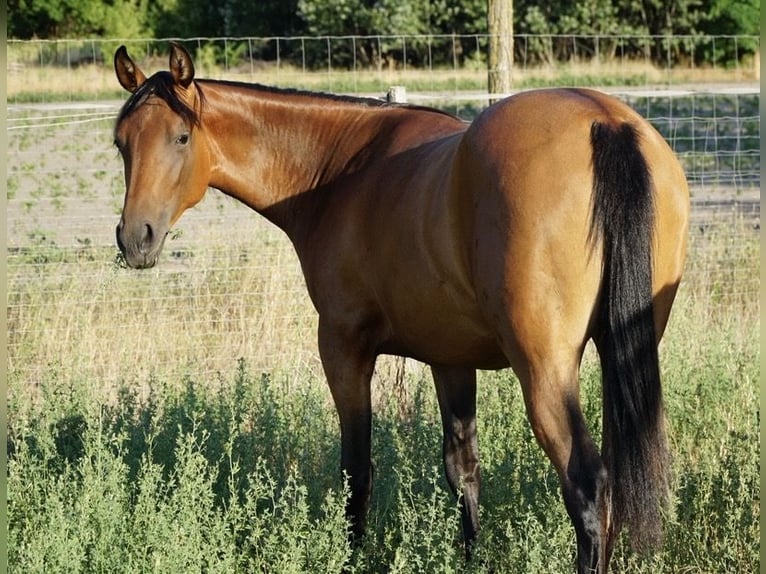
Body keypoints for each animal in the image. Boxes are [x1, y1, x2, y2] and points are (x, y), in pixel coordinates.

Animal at [113, 43, 689, 573]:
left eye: (181, 137)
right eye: (121, 144)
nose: (135, 239)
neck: (342, 171)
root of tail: (604, 120)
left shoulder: (344, 350)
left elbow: (357, 470)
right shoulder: (450, 359)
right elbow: (463, 468)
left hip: (544, 369)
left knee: (587, 484)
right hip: (622, 354)